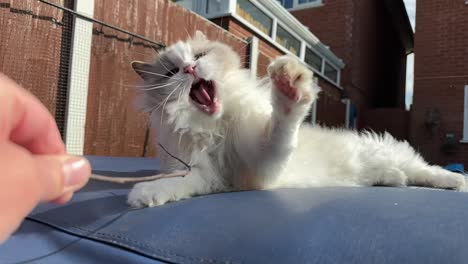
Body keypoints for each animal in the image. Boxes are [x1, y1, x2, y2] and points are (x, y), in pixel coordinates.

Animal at [126, 31, 466, 208]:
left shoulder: (264, 164)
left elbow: (281, 125)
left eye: (199, 56)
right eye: (171, 72)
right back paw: (394, 179)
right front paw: (145, 195)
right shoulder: (207, 173)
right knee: (404, 175)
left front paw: (289, 84)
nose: (189, 69)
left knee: (427, 170)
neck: (214, 128)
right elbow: (177, 183)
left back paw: (456, 182)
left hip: (397, 156)